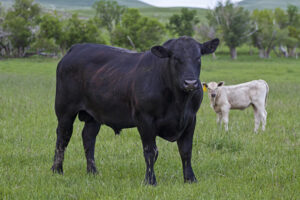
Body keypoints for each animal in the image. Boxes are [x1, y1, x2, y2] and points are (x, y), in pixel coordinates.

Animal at [51, 36, 219, 184]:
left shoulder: (190, 119)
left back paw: (93, 171)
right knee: (63, 137)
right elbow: (151, 151)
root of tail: (76, 48)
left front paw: (190, 179)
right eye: (175, 58)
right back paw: (57, 170)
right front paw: (150, 180)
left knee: (88, 138)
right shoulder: (145, 119)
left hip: (94, 115)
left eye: (198, 57)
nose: (190, 83)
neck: (179, 102)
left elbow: (186, 150)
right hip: (64, 110)